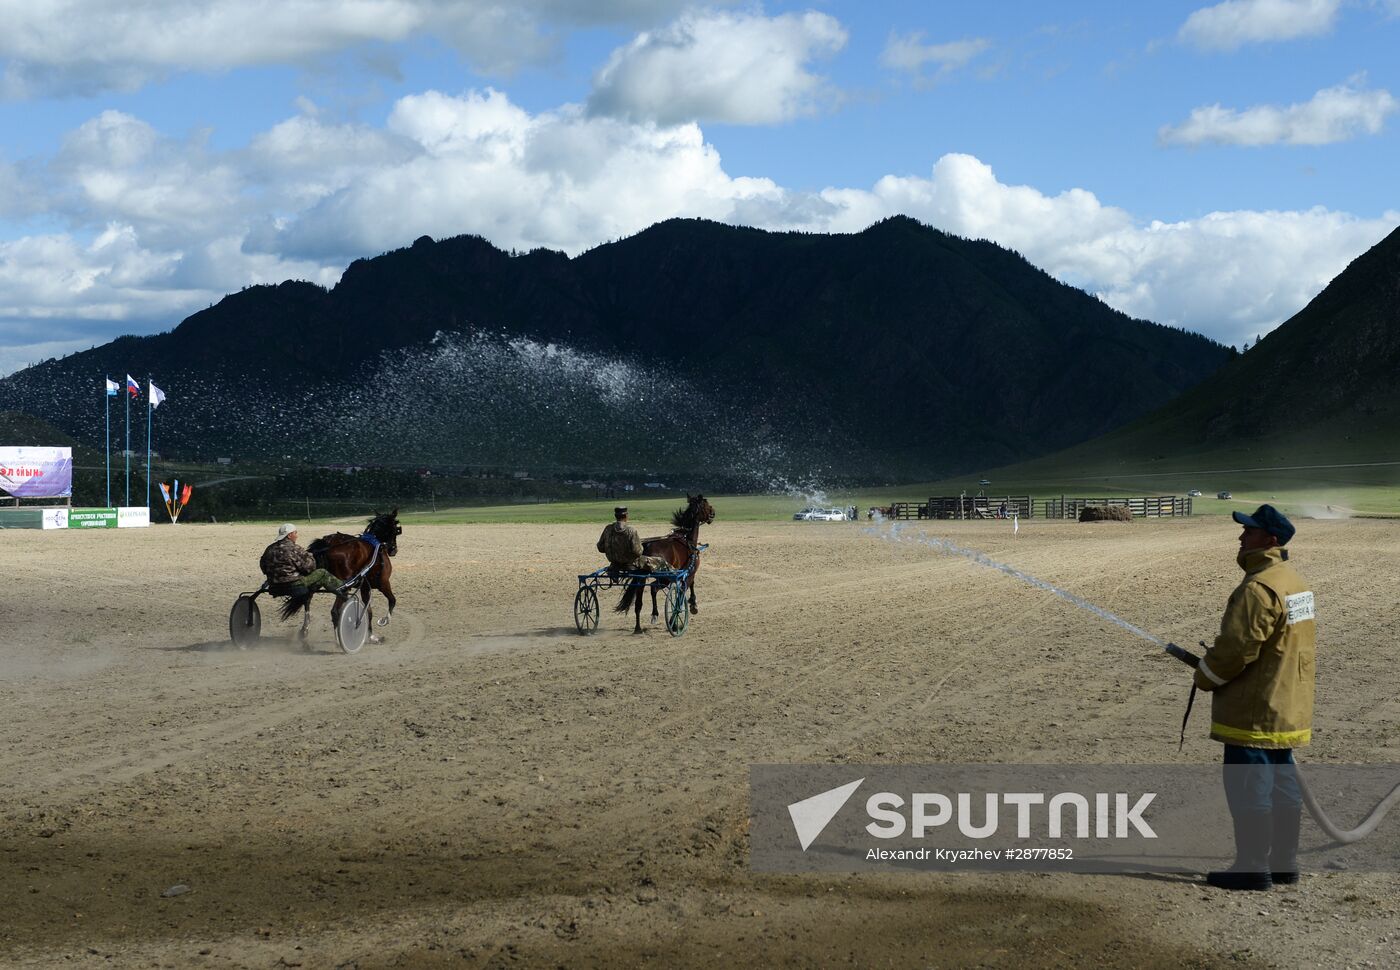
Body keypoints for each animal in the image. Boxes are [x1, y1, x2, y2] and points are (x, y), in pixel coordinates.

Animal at [277, 506, 400, 635]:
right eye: (396, 528)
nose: (394, 549)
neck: (375, 545)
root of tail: (328, 543)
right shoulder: (384, 583)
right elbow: (392, 600)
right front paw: (384, 621)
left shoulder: (365, 587)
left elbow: (369, 611)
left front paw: (370, 634)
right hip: (343, 587)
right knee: (335, 611)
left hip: (319, 579)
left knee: (307, 599)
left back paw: (304, 629)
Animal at [616, 492, 716, 635]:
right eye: (706, 504)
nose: (713, 512)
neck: (688, 540)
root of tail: (647, 547)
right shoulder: (689, 572)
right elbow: (685, 590)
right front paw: (691, 606)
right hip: (665, 578)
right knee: (653, 588)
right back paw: (658, 616)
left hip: (642, 578)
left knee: (639, 602)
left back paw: (638, 627)